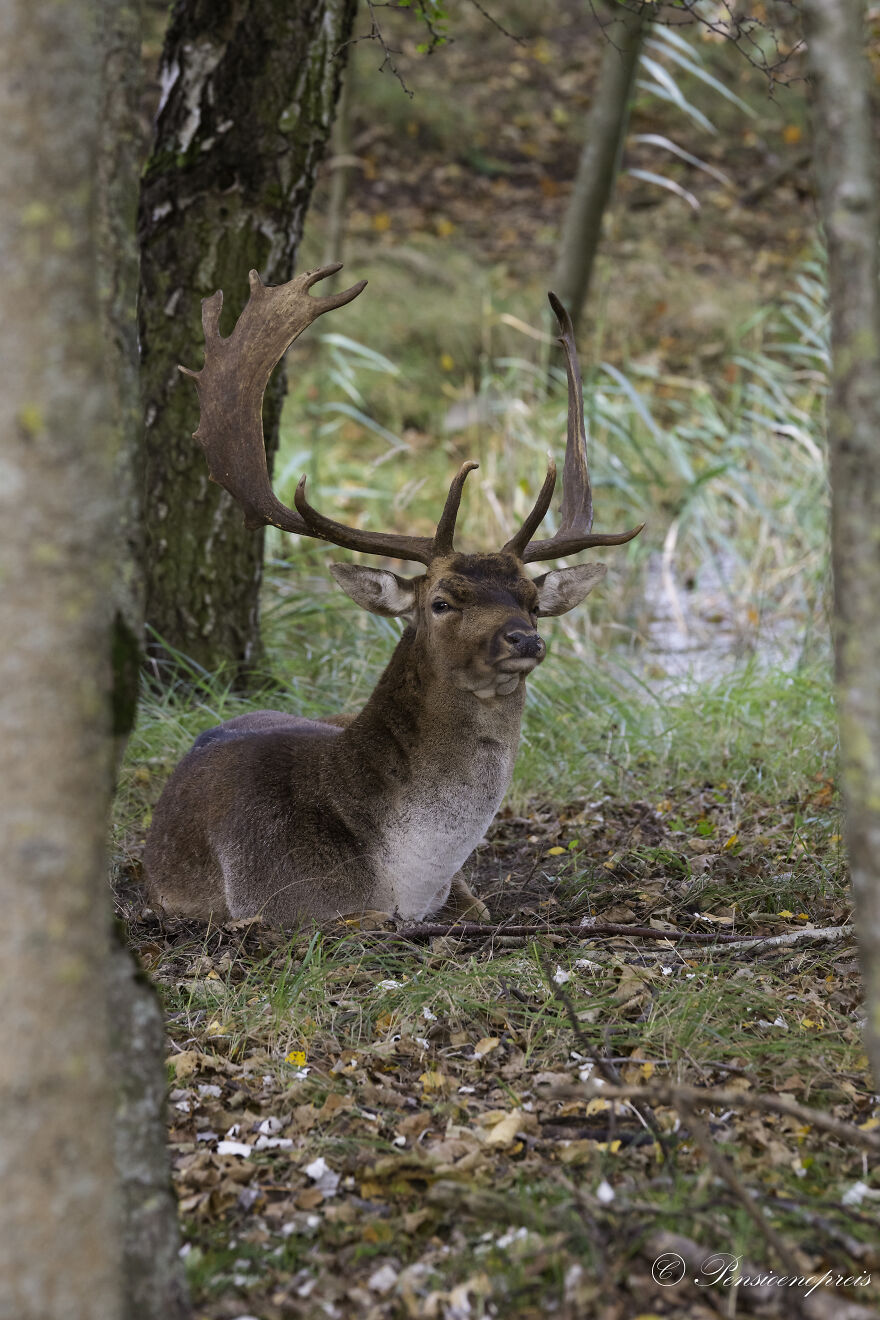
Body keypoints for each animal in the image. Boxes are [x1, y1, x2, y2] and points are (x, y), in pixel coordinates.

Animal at [143, 265, 643, 926]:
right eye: (442, 601)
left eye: (532, 602)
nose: (524, 638)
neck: (408, 877)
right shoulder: (272, 900)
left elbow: (481, 909)